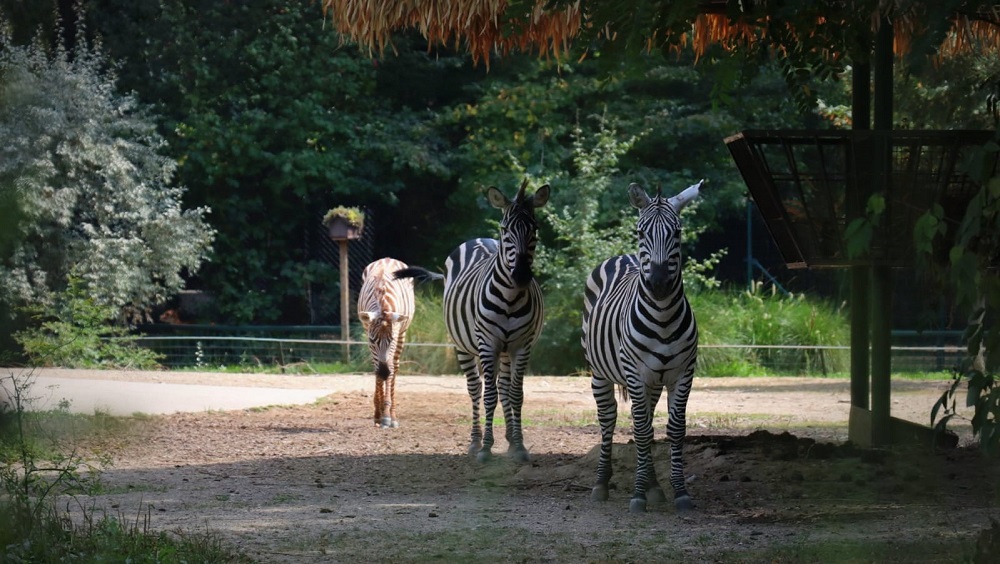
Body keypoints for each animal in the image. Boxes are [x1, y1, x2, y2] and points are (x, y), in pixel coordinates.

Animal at [358, 256, 416, 428]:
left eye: (391, 340)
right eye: (372, 340)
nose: (384, 373)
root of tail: (387, 259)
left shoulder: (397, 335)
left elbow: (390, 369)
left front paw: (387, 416)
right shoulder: (368, 333)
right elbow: (376, 369)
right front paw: (378, 414)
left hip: (403, 332)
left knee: (395, 368)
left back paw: (392, 413)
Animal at [394, 180, 552, 462]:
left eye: (534, 229)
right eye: (505, 229)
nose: (521, 276)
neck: (511, 297)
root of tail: (478, 239)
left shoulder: (522, 345)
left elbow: (516, 394)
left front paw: (519, 446)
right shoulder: (487, 343)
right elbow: (489, 395)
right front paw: (486, 448)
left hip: (504, 348)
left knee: (504, 387)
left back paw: (509, 438)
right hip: (463, 345)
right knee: (475, 387)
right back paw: (475, 441)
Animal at [580, 178, 704, 512]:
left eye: (677, 232)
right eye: (641, 232)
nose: (659, 285)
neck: (662, 317)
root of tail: (623, 256)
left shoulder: (683, 373)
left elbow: (673, 429)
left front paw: (679, 491)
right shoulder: (634, 372)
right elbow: (639, 428)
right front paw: (637, 495)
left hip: (654, 381)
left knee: (645, 418)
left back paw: (654, 487)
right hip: (599, 372)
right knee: (609, 418)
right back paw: (601, 483)